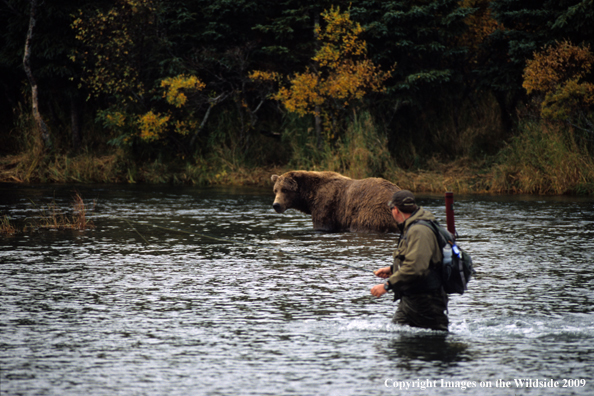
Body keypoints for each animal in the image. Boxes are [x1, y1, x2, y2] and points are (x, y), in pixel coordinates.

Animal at [270, 170, 400, 232]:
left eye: (285, 189)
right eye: (275, 190)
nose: (276, 205)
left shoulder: (325, 205)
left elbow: (322, 225)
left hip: (372, 212)